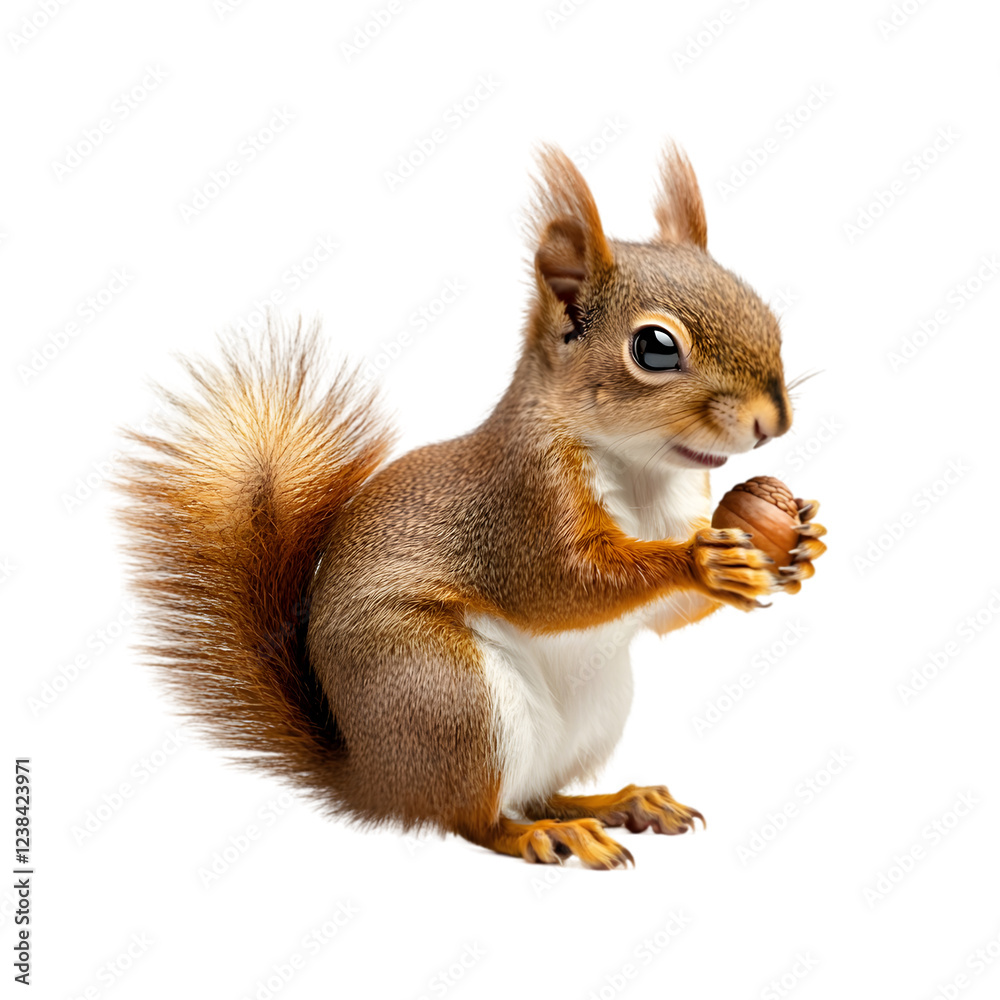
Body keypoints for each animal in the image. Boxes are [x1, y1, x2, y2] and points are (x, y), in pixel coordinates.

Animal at [118, 143, 826, 869]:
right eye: (655, 347)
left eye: (764, 312)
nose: (774, 421)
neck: (642, 471)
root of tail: (376, 778)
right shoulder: (520, 509)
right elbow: (563, 585)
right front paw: (702, 561)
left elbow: (663, 617)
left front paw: (796, 550)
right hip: (448, 692)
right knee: (476, 818)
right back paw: (547, 835)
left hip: (593, 706)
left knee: (538, 792)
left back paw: (616, 804)